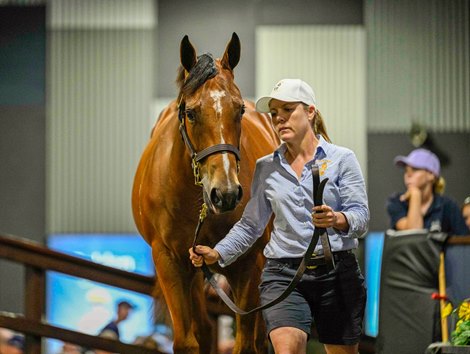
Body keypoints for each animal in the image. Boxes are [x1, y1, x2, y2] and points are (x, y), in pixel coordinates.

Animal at [131, 31, 280, 352]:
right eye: (190, 112)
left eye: (240, 110)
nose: (225, 193)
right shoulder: (171, 262)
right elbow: (187, 341)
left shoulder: (249, 263)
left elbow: (246, 343)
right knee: (204, 327)